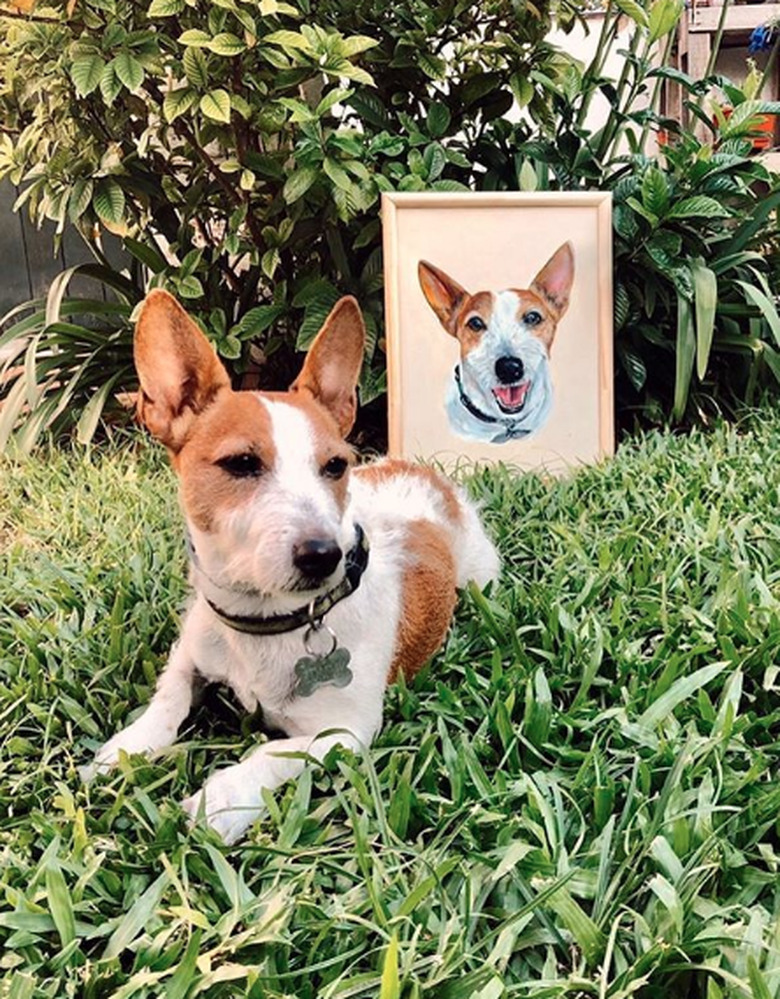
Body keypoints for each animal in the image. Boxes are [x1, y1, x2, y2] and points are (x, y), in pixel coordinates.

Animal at [84, 288, 500, 844]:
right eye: (241, 464)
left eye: (336, 466)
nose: (323, 554)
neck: (263, 622)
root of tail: (425, 474)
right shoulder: (188, 650)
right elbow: (168, 700)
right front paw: (126, 747)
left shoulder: (341, 734)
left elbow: (269, 754)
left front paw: (220, 802)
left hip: (480, 576)